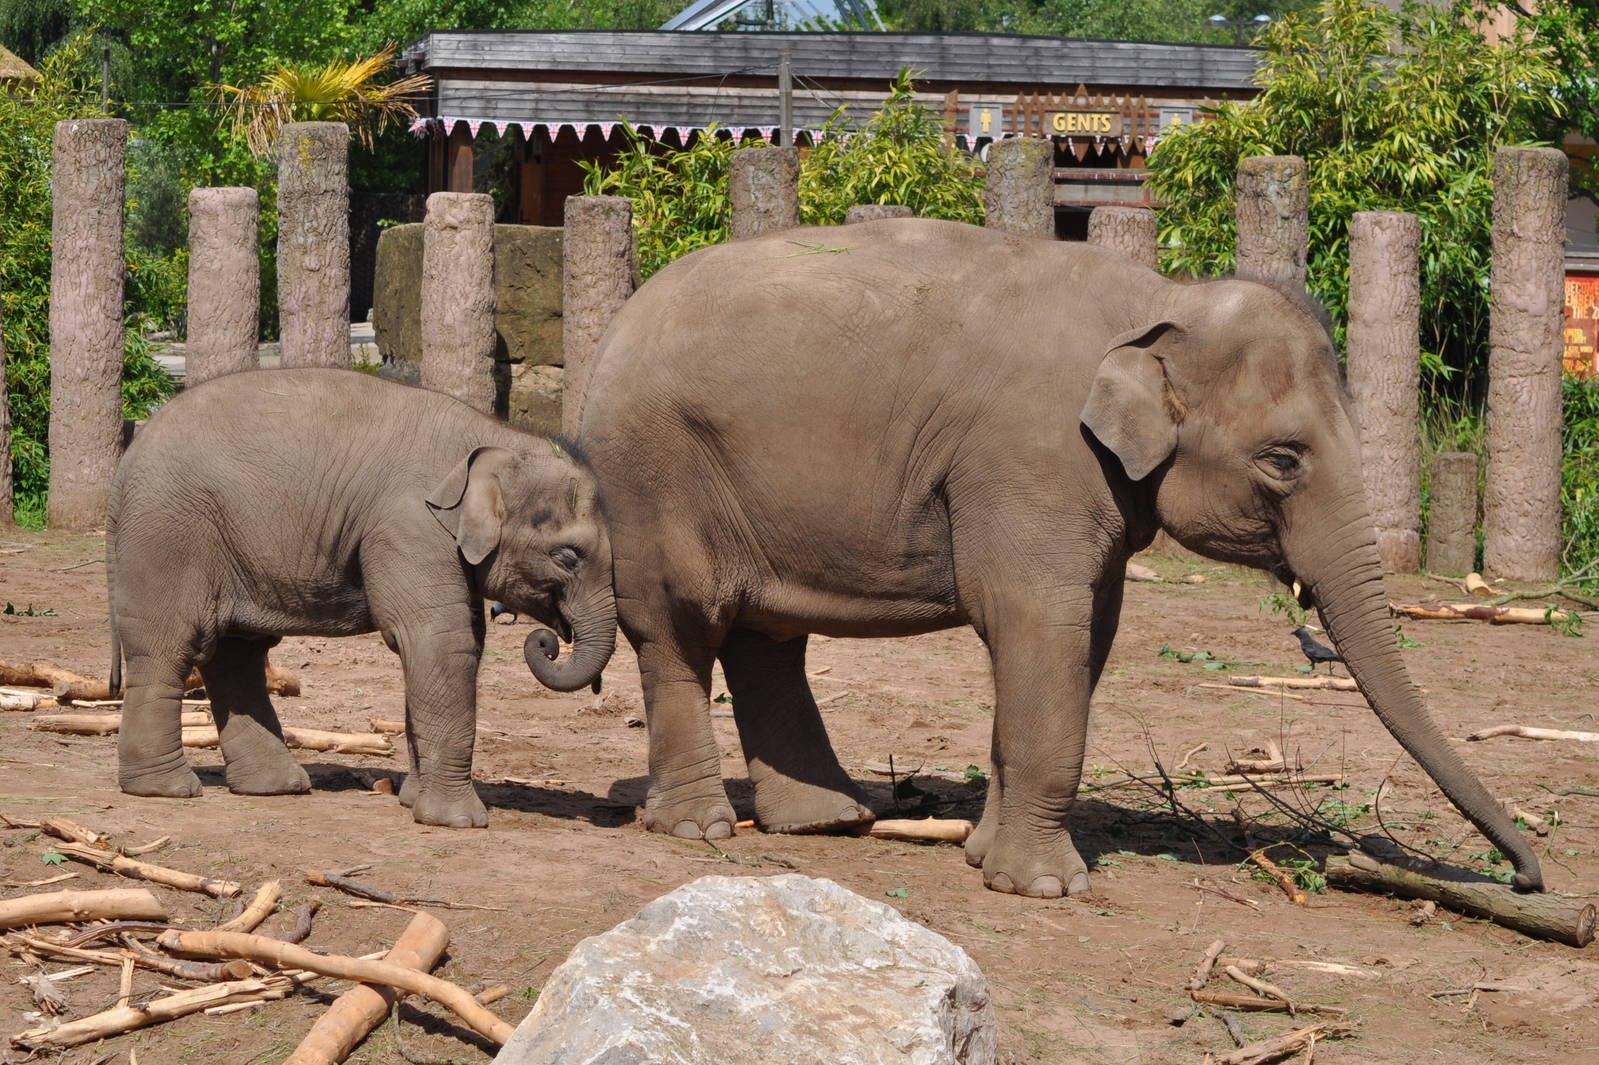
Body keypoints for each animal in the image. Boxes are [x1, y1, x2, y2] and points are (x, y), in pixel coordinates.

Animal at [106, 368, 615, 828]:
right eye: (568, 556)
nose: (548, 641)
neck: (495, 437)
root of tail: (126, 462)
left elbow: (445, 644)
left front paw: (412, 801)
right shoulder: (408, 526)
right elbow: (441, 642)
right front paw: (459, 821)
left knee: (237, 654)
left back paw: (276, 787)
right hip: (169, 535)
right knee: (171, 647)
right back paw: (167, 789)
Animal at [576, 217, 1541, 898]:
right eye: (1283, 460)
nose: (1527, 876)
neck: (1160, 302)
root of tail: (610, 332)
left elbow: (1082, 639)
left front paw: (981, 858)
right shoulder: (1030, 456)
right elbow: (1038, 621)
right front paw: (1044, 886)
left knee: (767, 639)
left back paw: (826, 822)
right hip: (653, 476)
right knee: (679, 632)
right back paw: (700, 829)